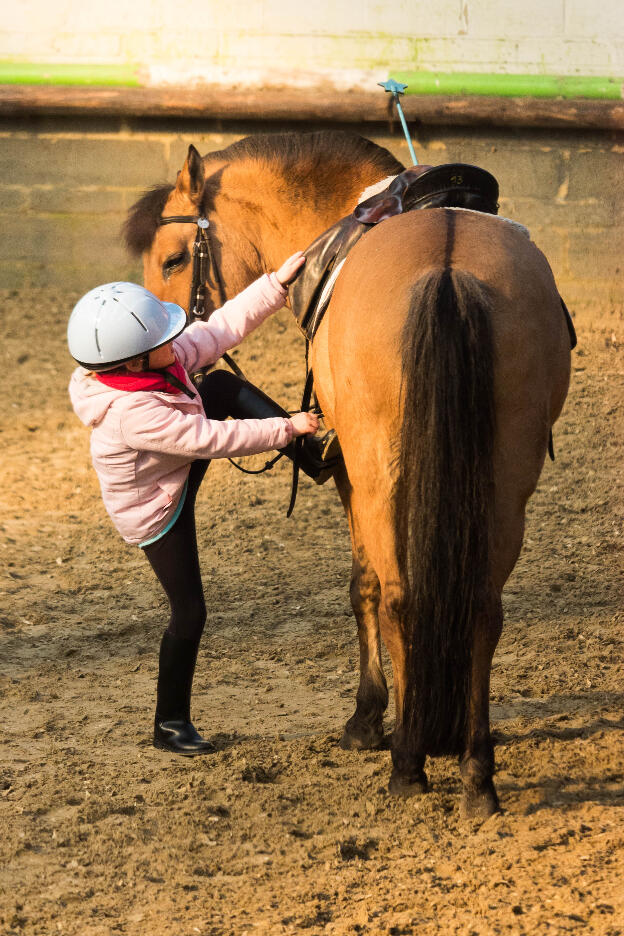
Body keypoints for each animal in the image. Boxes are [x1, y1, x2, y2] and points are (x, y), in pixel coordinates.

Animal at [124, 132, 572, 820]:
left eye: (173, 259)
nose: (168, 351)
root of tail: (449, 269)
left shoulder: (350, 477)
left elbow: (363, 585)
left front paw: (367, 720)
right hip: (505, 479)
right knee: (482, 608)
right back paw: (475, 772)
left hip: (381, 475)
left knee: (396, 594)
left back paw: (408, 763)